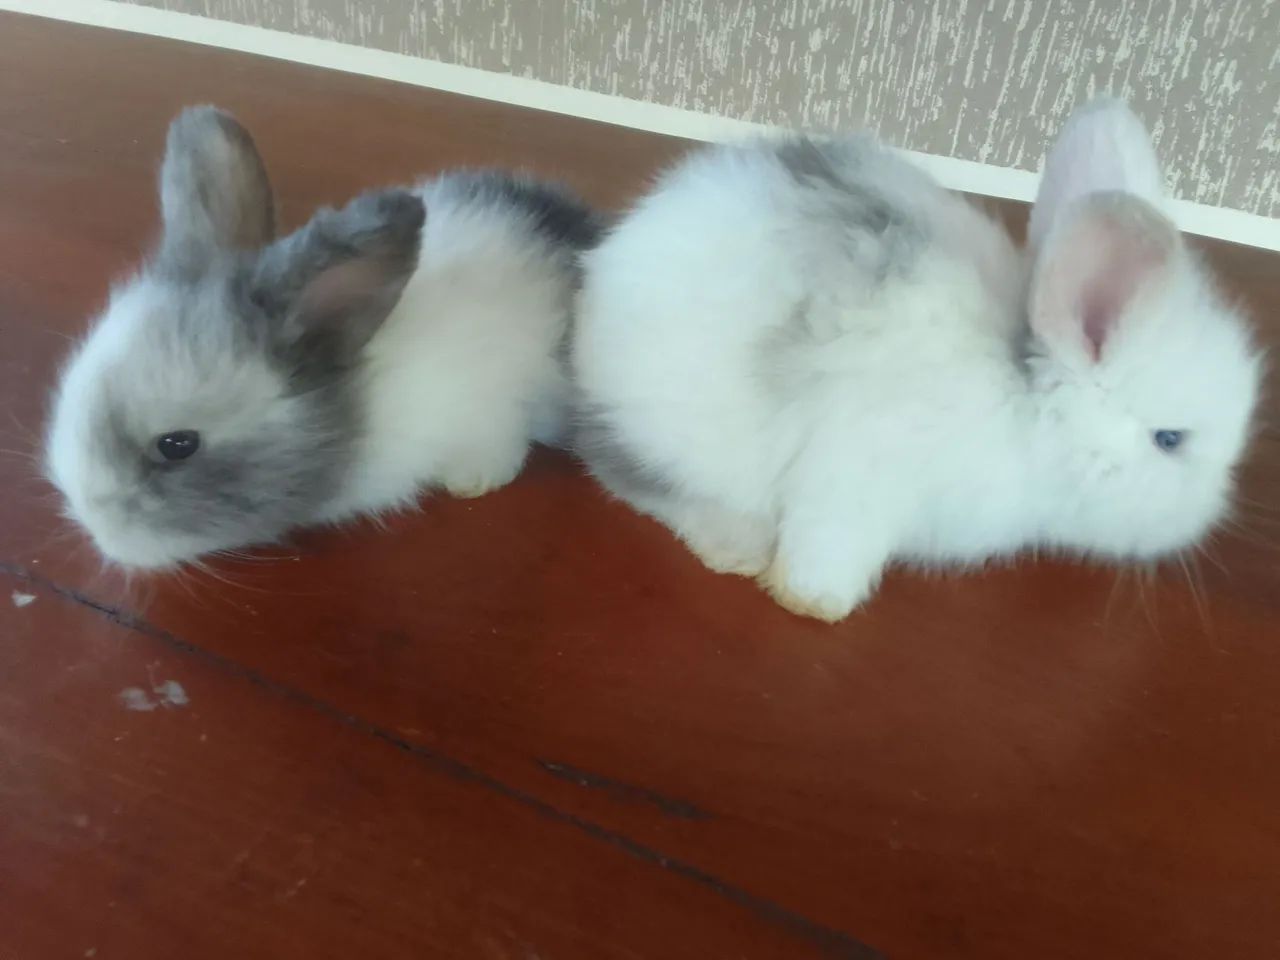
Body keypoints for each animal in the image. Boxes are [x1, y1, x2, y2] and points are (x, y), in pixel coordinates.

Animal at [572, 98, 1263, 622]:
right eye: (1170, 440)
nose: (1205, 519)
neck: (1022, 399)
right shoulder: (858, 476)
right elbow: (829, 545)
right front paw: (814, 602)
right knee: (627, 475)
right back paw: (734, 544)